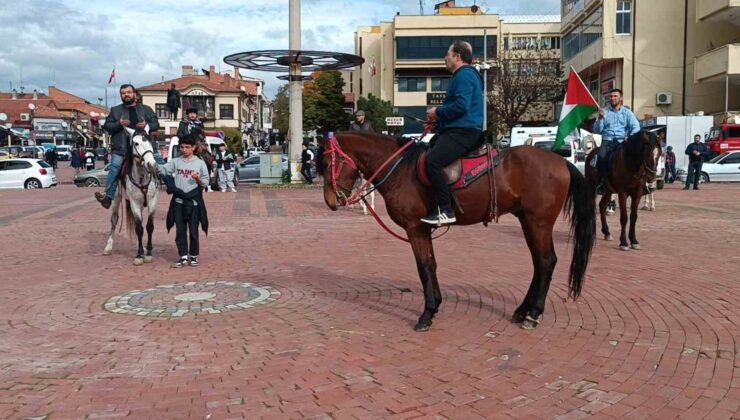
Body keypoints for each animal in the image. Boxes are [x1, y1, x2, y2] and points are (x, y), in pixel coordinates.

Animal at [102, 128, 159, 266]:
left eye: (151, 141)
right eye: (136, 143)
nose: (151, 165)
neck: (142, 176)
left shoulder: (152, 201)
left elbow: (149, 226)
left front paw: (148, 253)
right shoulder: (135, 203)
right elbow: (139, 228)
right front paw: (139, 255)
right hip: (117, 199)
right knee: (114, 220)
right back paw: (108, 247)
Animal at [316, 133, 596, 334]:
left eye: (329, 162)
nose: (330, 200)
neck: (400, 169)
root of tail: (562, 161)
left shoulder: (415, 229)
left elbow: (424, 268)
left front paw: (427, 313)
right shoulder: (423, 230)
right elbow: (432, 265)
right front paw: (435, 306)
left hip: (539, 223)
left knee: (546, 262)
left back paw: (533, 314)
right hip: (528, 222)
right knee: (539, 263)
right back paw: (522, 310)